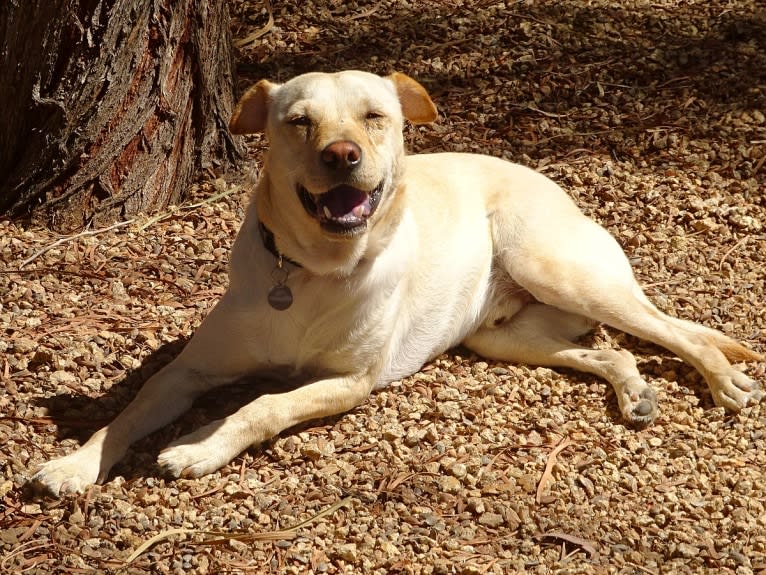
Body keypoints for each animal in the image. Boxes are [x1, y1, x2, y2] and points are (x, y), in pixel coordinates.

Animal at [27, 71, 764, 496]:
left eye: (375, 115)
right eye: (298, 120)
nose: (341, 156)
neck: (310, 270)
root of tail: (552, 184)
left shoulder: (349, 381)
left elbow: (261, 406)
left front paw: (200, 448)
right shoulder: (189, 371)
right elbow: (126, 413)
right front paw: (75, 465)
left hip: (558, 270)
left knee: (674, 331)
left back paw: (724, 382)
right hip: (502, 337)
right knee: (612, 351)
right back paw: (635, 392)